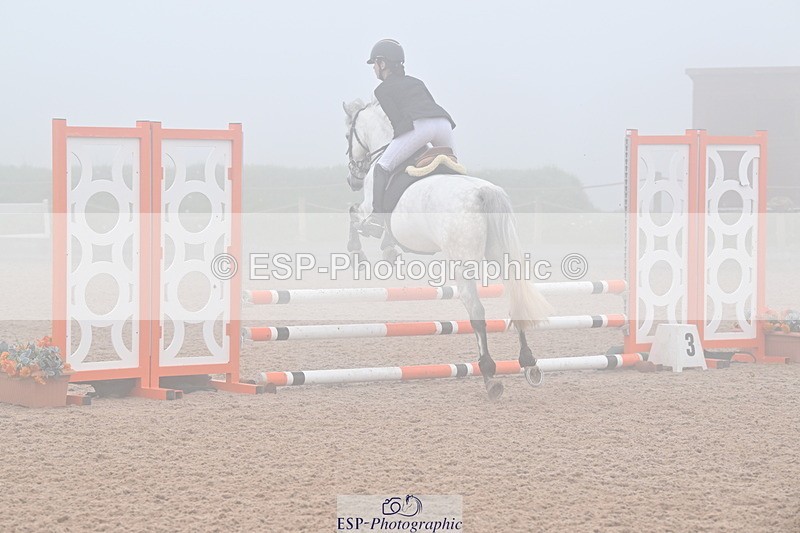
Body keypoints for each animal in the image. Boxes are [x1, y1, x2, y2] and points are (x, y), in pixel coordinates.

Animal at [343, 98, 553, 400]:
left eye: (348, 135)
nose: (353, 180)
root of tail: (482, 193)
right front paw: (387, 251)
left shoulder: (368, 209)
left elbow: (354, 217)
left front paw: (359, 254)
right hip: (503, 259)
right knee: (515, 302)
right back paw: (529, 364)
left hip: (463, 265)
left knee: (477, 313)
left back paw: (490, 375)